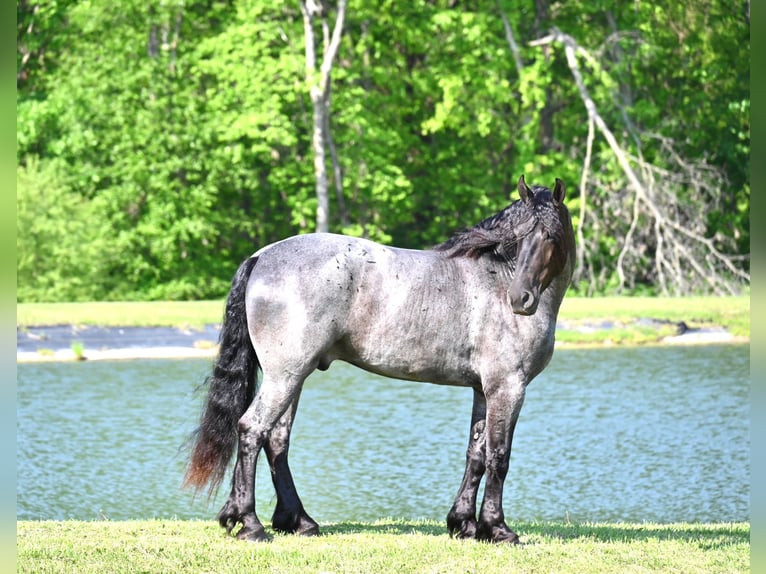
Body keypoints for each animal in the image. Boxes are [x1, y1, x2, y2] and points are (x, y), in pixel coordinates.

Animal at [184, 174, 576, 544]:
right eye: (517, 239)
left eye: (550, 236)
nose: (520, 299)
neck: (495, 277)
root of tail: (261, 257)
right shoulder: (507, 387)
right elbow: (499, 456)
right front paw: (497, 528)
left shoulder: (484, 389)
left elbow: (476, 455)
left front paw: (463, 523)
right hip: (286, 377)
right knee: (252, 429)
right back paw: (251, 524)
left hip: (290, 379)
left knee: (276, 439)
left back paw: (292, 520)